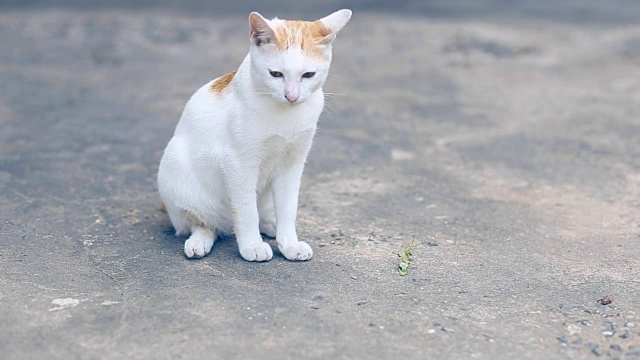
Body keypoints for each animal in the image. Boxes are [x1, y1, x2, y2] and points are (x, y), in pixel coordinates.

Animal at [157, 9, 352, 262]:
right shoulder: (238, 163)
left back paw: (270, 225)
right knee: (204, 224)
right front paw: (251, 244)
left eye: (308, 75)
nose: (291, 96)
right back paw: (201, 240)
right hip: (177, 172)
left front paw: (289, 243)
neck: (285, 115)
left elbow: (288, 208)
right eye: (276, 74)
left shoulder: (292, 164)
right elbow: (246, 210)